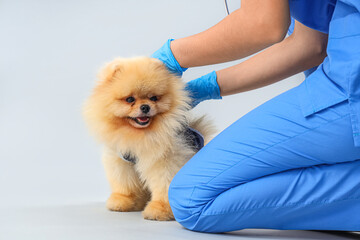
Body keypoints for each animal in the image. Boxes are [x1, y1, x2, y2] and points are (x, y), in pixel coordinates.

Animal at [83, 56, 215, 221]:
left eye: (154, 98)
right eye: (130, 99)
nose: (145, 107)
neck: (139, 135)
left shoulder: (164, 160)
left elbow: (164, 184)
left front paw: (161, 209)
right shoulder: (121, 160)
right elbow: (125, 183)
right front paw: (123, 200)